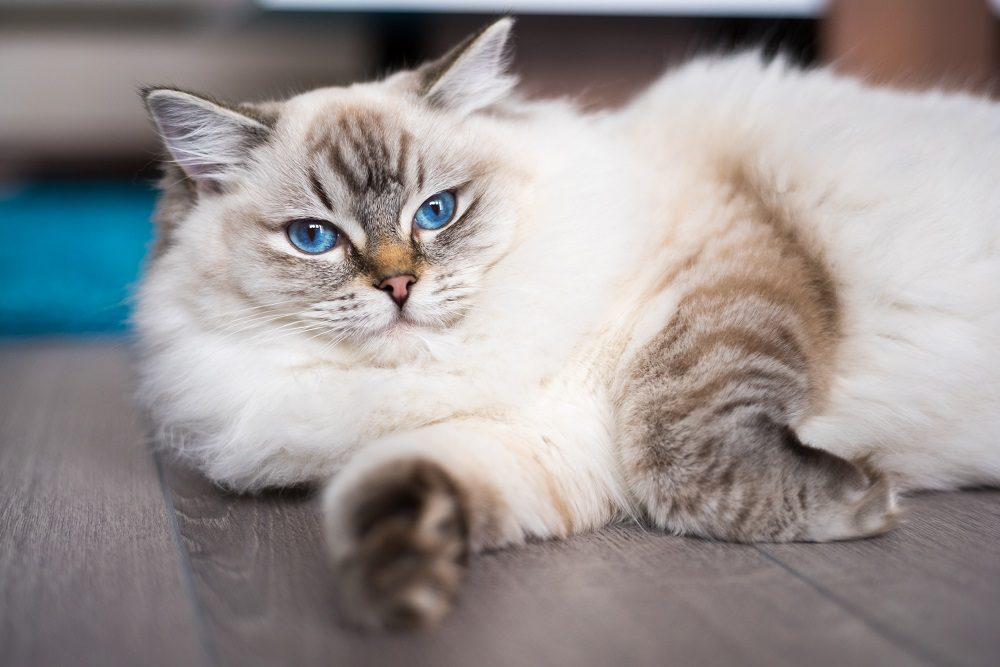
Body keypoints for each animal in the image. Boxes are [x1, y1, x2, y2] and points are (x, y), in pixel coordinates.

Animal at [135, 17, 1000, 632]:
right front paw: (402, 581)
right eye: (314, 237)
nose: (399, 286)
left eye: (437, 212)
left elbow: (675, 447)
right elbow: (384, 487)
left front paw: (862, 501)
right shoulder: (544, 442)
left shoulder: (713, 283)